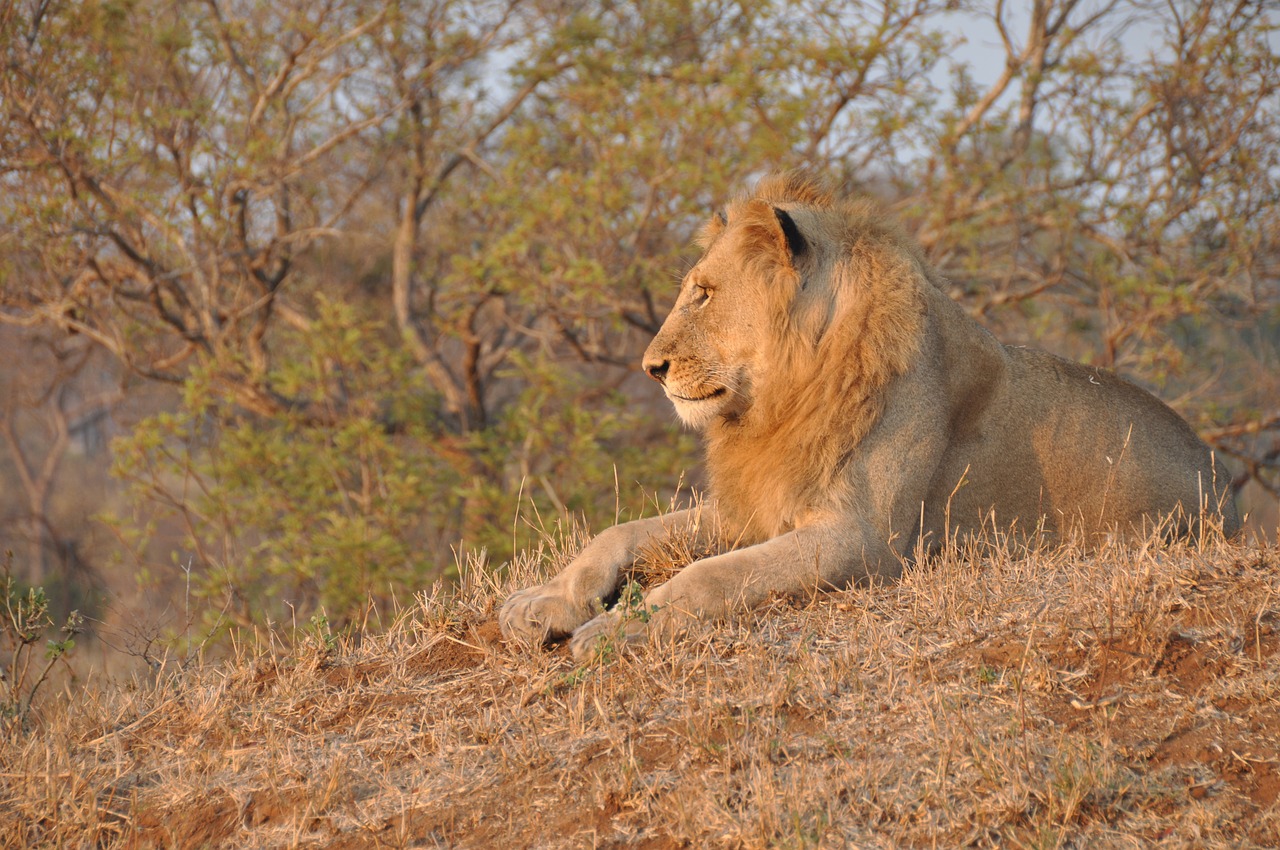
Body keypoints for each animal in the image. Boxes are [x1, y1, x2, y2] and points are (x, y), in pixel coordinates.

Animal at [499, 172, 1239, 660]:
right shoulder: (761, 506)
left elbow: (711, 577)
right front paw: (543, 603)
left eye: (704, 294)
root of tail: (1224, 483)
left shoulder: (863, 539)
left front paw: (615, 630)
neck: (785, 398)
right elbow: (622, 532)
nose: (651, 367)